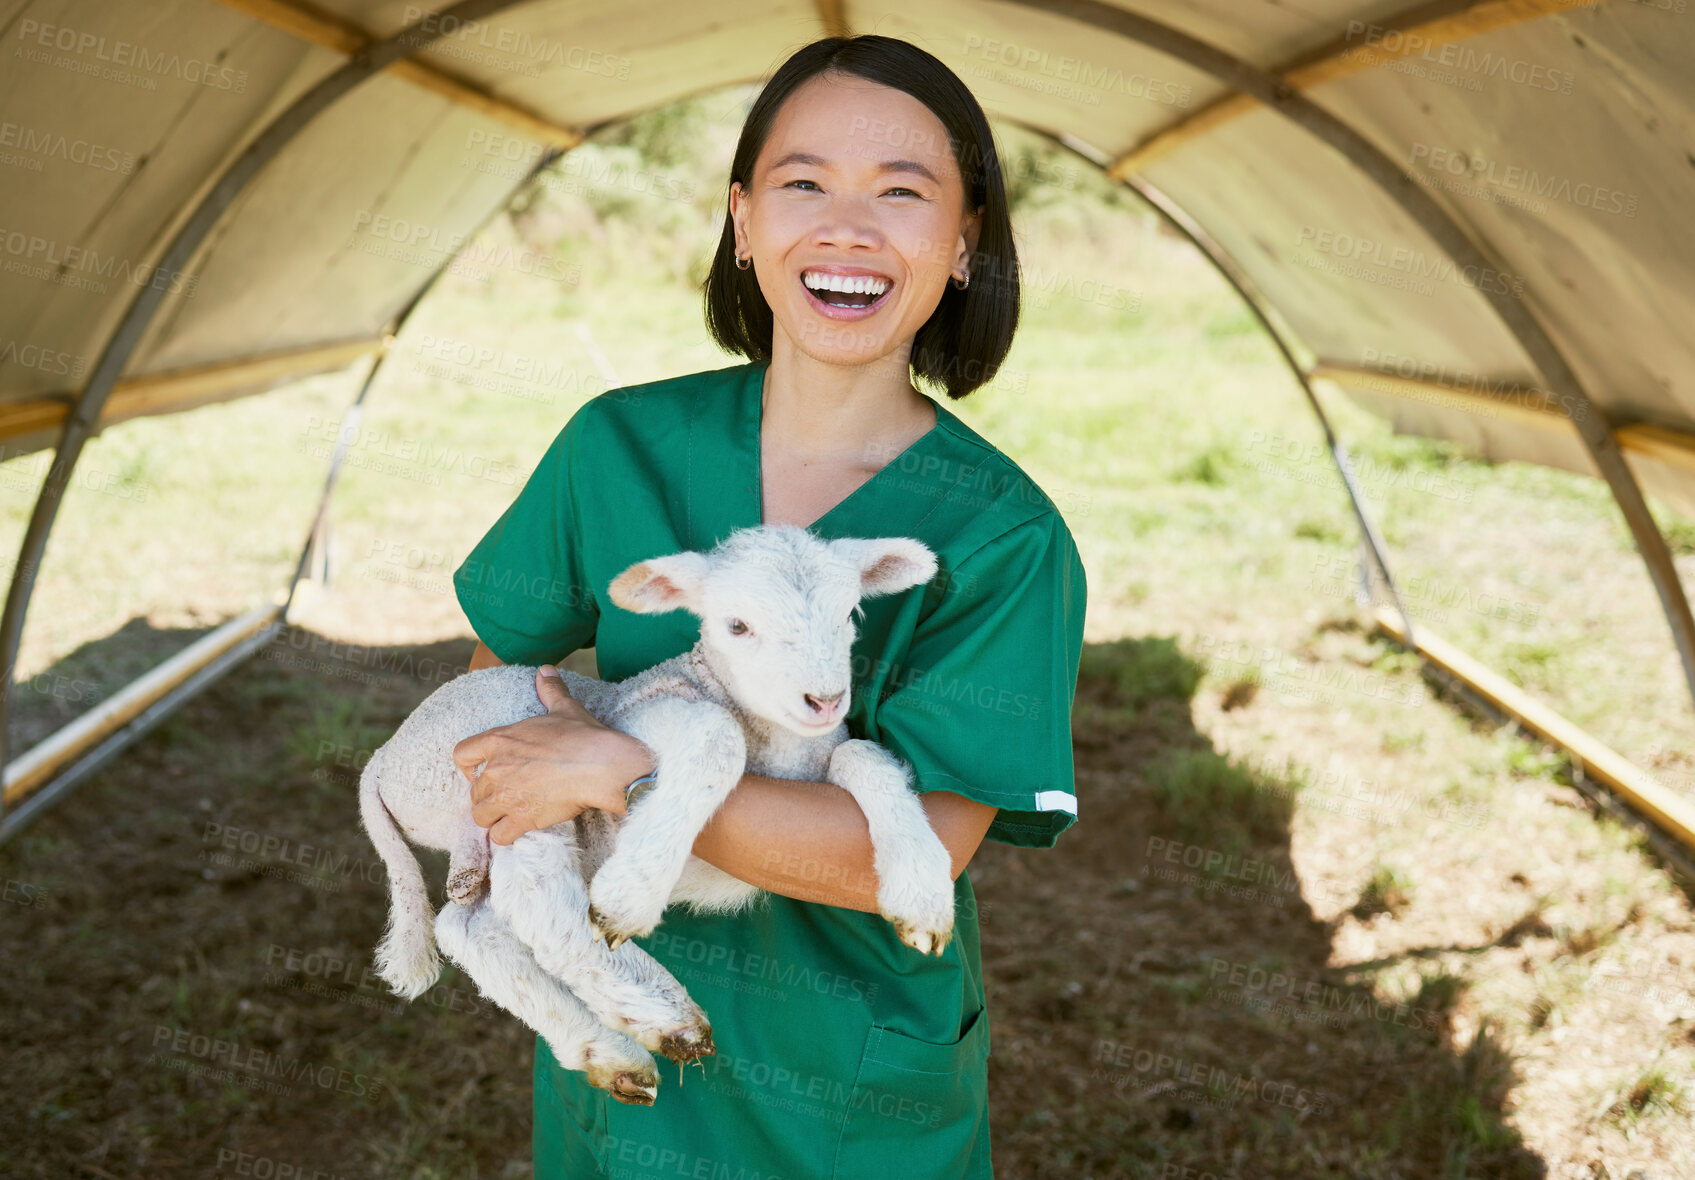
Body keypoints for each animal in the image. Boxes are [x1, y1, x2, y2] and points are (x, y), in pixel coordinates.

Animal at [359, 525, 962, 1105]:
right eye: (737, 625)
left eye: (851, 614)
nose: (826, 700)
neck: (781, 751)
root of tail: (384, 759)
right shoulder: (635, 717)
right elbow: (715, 734)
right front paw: (632, 892)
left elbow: (865, 755)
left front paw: (922, 892)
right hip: (509, 765)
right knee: (535, 900)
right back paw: (666, 1014)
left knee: (470, 925)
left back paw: (610, 1052)